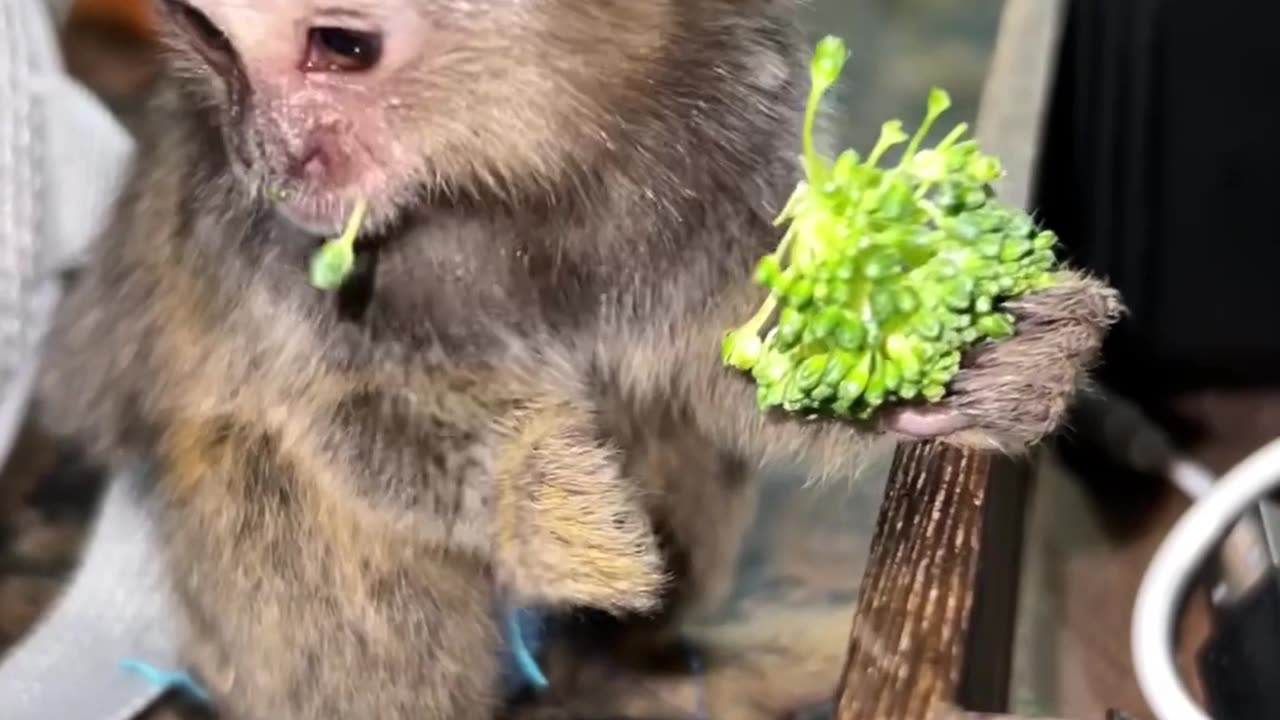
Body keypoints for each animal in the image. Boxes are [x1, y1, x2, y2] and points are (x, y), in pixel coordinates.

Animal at [32, 0, 1121, 712]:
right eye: (215, 40)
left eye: (341, 45)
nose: (274, 157)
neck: (506, 168)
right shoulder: (255, 233)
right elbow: (327, 409)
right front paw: (541, 496)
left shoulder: (727, 115)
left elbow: (727, 363)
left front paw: (971, 374)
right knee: (258, 467)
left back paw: (635, 663)